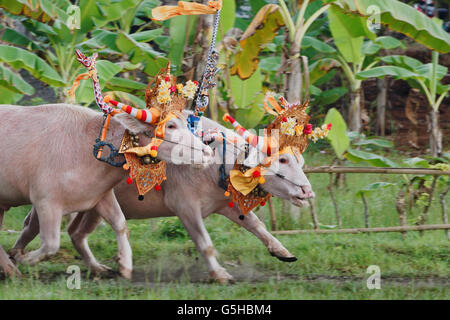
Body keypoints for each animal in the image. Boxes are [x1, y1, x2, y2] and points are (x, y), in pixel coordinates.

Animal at [0, 104, 214, 278]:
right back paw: (13, 267)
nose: (207, 152)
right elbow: (51, 244)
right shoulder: (45, 201)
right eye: (170, 126)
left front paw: (124, 264)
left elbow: (120, 223)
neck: (87, 148)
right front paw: (25, 259)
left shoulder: (101, 195)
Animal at [11, 113, 312, 282]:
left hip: (92, 206)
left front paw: (282, 252)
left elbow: (257, 226)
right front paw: (220, 274)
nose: (307, 192)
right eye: (282, 160)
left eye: (300, 159)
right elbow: (205, 244)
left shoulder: (224, 205)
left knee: (75, 233)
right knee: (32, 226)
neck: (215, 161)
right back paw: (16, 257)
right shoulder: (185, 208)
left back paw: (99, 268)